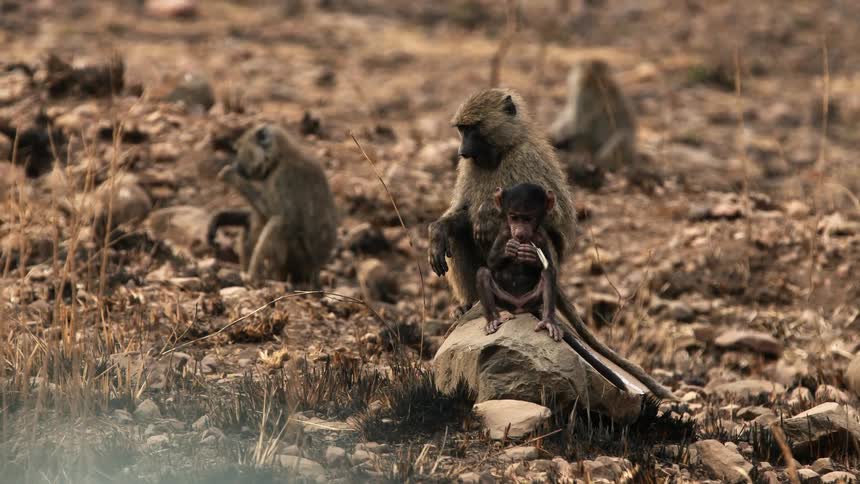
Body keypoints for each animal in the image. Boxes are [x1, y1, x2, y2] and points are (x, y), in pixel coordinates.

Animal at [207, 123, 337, 286]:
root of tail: (316, 271)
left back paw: (254, 277)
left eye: (238, 150)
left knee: (277, 222)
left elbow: (285, 218)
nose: (236, 165)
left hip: (298, 262)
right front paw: (221, 218)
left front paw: (230, 175)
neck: (279, 158)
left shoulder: (282, 178)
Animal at [429, 88, 675, 400]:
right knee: (460, 235)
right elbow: (459, 216)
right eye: (462, 129)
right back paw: (468, 304)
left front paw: (486, 212)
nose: (462, 151)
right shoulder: (470, 168)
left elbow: (553, 220)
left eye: (474, 129)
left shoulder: (526, 160)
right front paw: (438, 230)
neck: (502, 151)